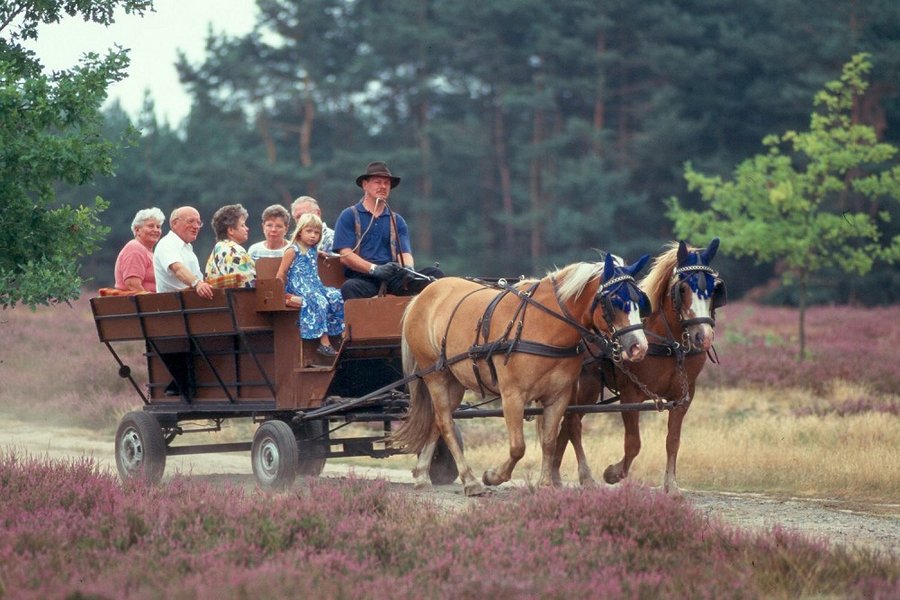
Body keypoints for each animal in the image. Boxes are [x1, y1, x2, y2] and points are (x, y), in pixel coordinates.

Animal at [390, 253, 652, 496]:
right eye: (615, 299)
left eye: (639, 299)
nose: (639, 347)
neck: (545, 325)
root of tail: (423, 294)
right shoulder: (512, 396)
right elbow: (518, 447)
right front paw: (493, 476)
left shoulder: (559, 396)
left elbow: (549, 441)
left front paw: (545, 484)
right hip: (436, 375)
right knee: (445, 422)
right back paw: (471, 481)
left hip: (455, 382)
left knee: (437, 420)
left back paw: (423, 474)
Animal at [548, 237, 732, 494]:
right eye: (682, 289)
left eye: (715, 289)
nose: (702, 336)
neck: (667, 342)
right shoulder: (630, 394)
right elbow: (633, 443)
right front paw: (613, 473)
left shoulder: (684, 397)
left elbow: (673, 441)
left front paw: (671, 485)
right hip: (586, 384)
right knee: (573, 423)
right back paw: (585, 477)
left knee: (566, 423)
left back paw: (555, 475)